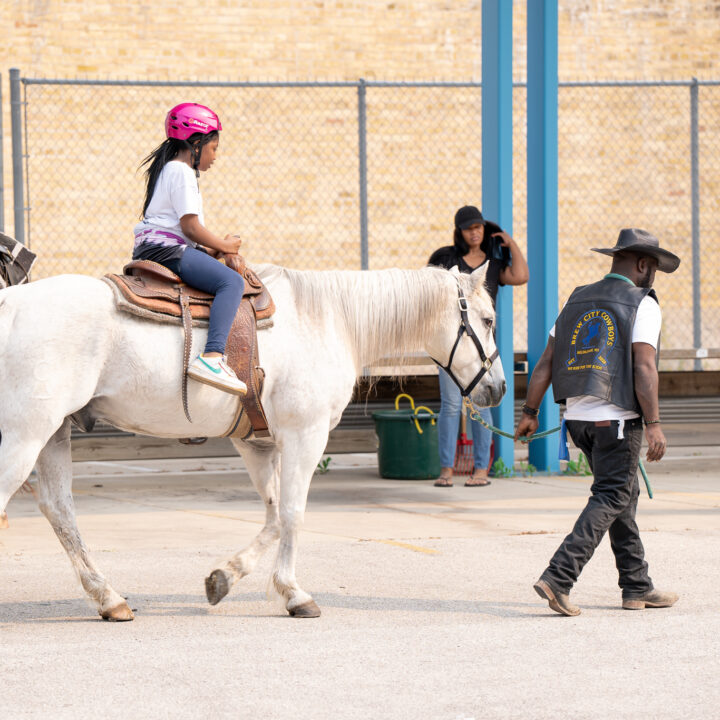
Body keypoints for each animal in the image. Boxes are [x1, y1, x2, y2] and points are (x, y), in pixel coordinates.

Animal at [0, 264, 504, 620]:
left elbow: (274, 516)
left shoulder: (257, 443)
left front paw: (224, 578)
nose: (497, 388)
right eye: (487, 319)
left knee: (60, 510)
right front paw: (294, 594)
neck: (328, 321)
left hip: (52, 433)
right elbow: (293, 514)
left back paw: (109, 598)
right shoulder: (305, 435)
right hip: (26, 434)